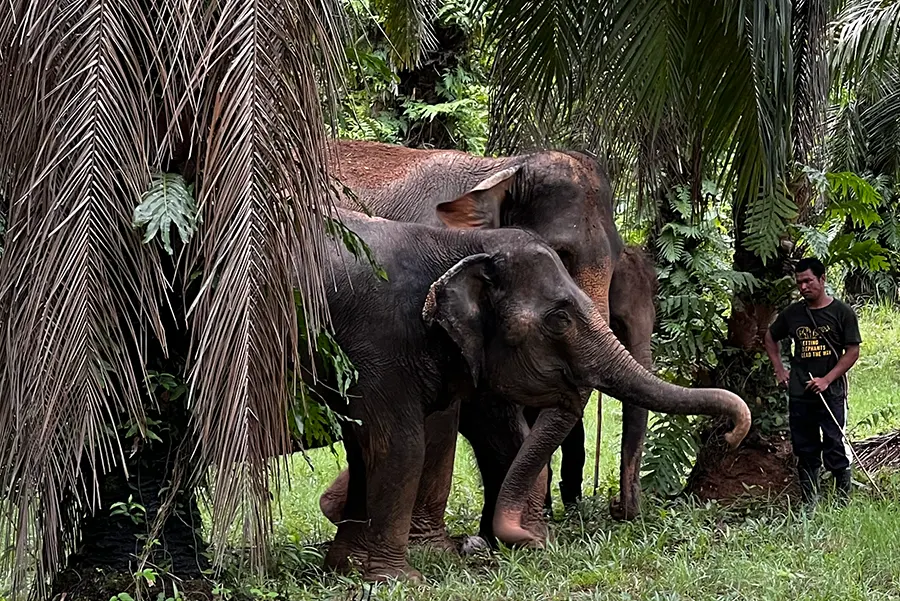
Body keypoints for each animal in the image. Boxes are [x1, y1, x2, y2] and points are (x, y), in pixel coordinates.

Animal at [311, 207, 750, 582]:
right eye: (560, 319)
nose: (731, 433)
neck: (456, 242)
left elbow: (366, 445)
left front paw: (347, 568)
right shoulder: (379, 343)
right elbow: (398, 446)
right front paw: (400, 580)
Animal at [318, 139, 659, 549]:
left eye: (618, 253)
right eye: (560, 254)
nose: (617, 507)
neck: (499, 168)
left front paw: (515, 538)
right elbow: (457, 413)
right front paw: (435, 547)